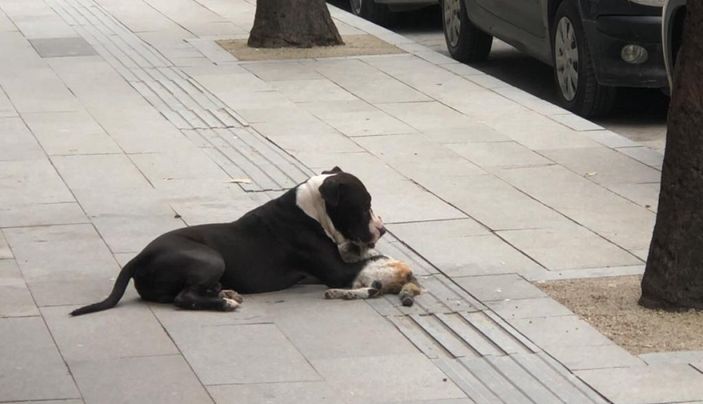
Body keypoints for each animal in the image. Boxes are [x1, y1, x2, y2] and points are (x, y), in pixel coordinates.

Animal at [71, 167, 384, 316]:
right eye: (364, 205)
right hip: (209, 258)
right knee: (183, 297)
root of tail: (138, 258)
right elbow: (370, 262)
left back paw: (224, 293)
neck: (312, 209)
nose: (382, 230)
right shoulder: (336, 271)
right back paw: (224, 303)